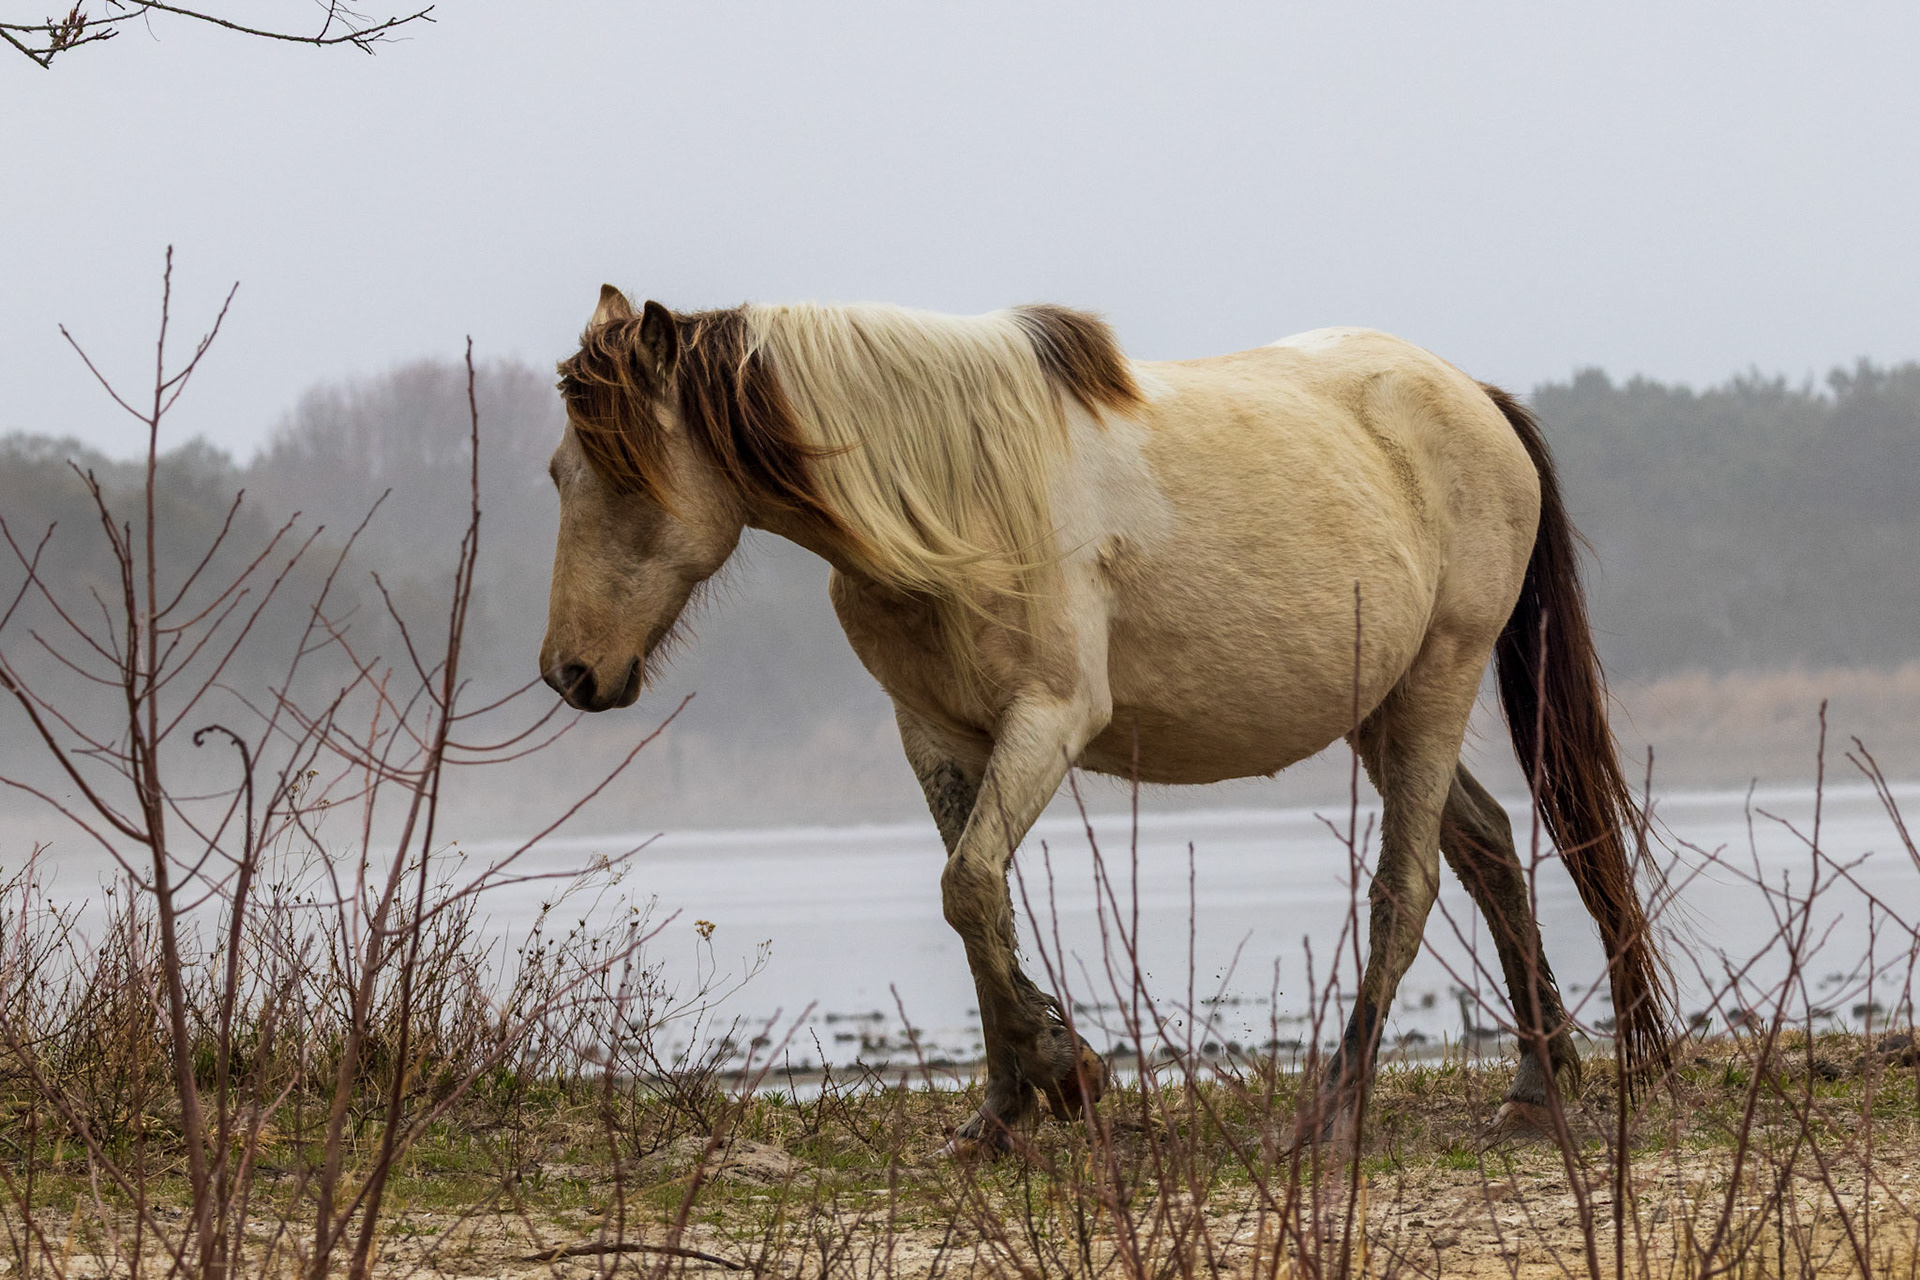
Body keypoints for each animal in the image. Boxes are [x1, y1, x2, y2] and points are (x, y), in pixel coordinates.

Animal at [539, 285, 1673, 1154]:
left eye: (626, 476)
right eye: (560, 474)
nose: (569, 671)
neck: (954, 495)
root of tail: (1475, 399)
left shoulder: (1048, 719)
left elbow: (967, 886)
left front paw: (1062, 1075)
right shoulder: (933, 733)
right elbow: (978, 900)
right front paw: (1007, 1108)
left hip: (1439, 676)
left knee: (1408, 889)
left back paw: (1331, 1113)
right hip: (1382, 708)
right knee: (1488, 849)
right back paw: (1535, 1089)